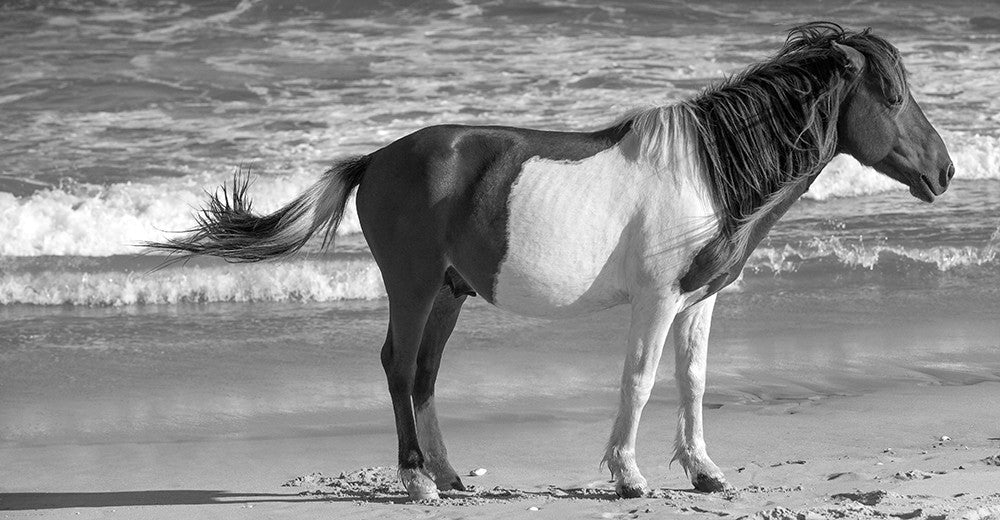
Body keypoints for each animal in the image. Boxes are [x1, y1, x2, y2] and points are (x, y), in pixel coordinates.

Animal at [148, 22, 954, 500]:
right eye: (891, 94)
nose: (943, 172)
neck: (708, 168)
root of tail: (375, 159)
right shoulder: (657, 300)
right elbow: (640, 378)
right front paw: (628, 475)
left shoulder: (700, 300)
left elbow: (692, 381)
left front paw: (704, 471)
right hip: (414, 287)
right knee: (400, 368)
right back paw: (417, 481)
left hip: (449, 293)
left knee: (425, 375)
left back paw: (449, 475)